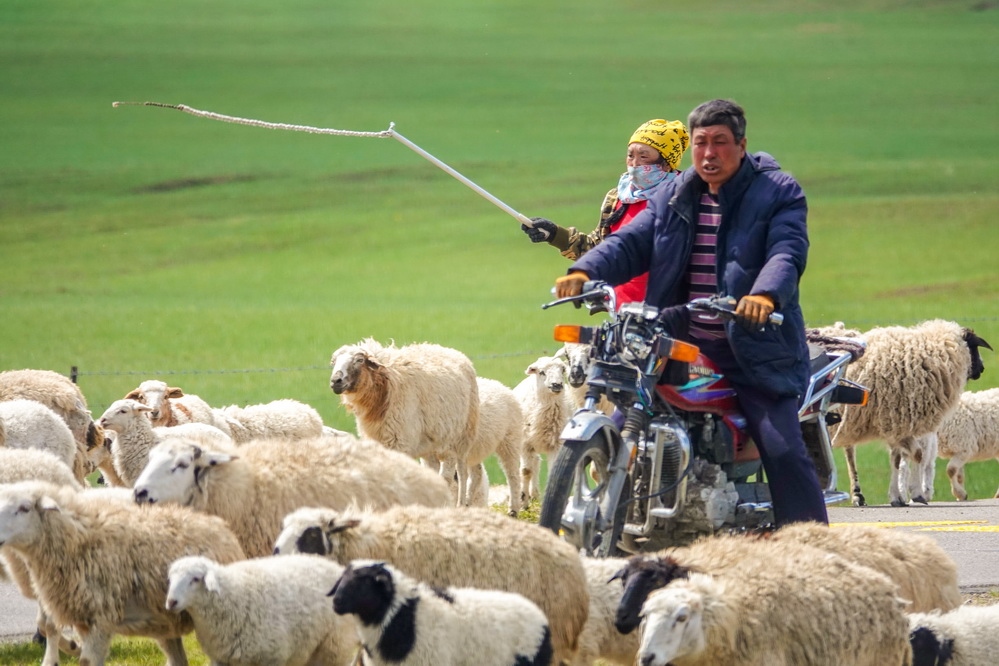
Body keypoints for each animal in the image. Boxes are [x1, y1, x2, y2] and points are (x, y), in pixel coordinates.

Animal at [0, 479, 245, 666]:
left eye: (24, 508)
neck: (79, 540)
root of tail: (216, 525)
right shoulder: (83, 619)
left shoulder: (101, 618)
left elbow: (87, 661)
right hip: (167, 621)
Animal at [166, 554, 358, 666]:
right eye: (171, 578)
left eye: (195, 579)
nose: (171, 602)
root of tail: (336, 566)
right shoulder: (220, 658)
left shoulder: (272, 657)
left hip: (335, 646)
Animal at [329, 338, 479, 507]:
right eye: (333, 362)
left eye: (359, 360)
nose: (335, 381)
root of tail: (451, 351)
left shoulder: (400, 442)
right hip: (431, 446)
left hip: (460, 438)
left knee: (460, 472)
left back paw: (460, 504)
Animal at [513, 355, 574, 503]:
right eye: (541, 372)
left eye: (563, 370)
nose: (557, 385)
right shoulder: (525, 444)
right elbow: (526, 471)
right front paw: (523, 500)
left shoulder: (557, 445)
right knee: (532, 465)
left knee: (536, 462)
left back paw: (534, 494)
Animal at [829, 319, 992, 506]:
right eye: (974, 346)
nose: (982, 369)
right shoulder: (894, 422)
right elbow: (917, 455)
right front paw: (916, 494)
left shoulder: (895, 426)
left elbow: (898, 460)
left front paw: (897, 497)